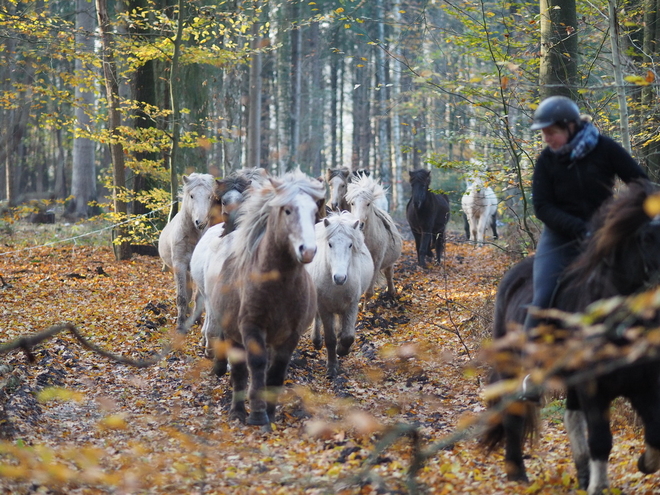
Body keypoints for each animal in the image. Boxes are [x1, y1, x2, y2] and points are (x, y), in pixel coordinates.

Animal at [158, 173, 215, 334]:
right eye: (191, 196)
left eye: (209, 196)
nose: (200, 223)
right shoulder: (180, 265)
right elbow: (182, 296)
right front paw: (180, 325)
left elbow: (198, 298)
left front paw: (196, 320)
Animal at [202, 170, 324, 426]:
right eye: (287, 210)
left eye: (313, 211)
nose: (307, 250)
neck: (279, 286)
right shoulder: (251, 328)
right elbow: (255, 366)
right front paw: (257, 415)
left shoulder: (290, 335)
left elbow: (276, 372)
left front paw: (270, 414)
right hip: (233, 333)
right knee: (239, 371)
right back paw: (237, 411)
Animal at [306, 211, 374, 378]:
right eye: (330, 244)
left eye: (350, 245)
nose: (340, 278)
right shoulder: (324, 307)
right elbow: (330, 339)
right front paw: (331, 368)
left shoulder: (352, 305)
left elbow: (347, 336)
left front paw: (342, 350)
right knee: (317, 318)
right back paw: (316, 341)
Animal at [482, 181, 660, 495]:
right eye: (647, 237)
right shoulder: (594, 389)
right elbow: (601, 440)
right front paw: (600, 487)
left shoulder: (644, 385)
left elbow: (655, 433)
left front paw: (641, 464)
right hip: (512, 367)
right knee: (514, 411)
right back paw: (517, 473)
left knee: (571, 416)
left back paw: (581, 475)